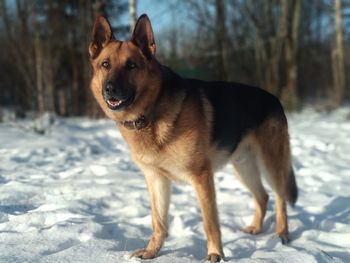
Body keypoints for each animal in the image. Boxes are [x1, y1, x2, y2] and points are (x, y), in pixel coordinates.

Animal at [88, 14, 298, 263]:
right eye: (105, 65)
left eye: (131, 65)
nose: (110, 89)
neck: (151, 112)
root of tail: (275, 99)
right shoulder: (156, 179)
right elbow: (158, 222)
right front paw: (152, 252)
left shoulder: (201, 177)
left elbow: (210, 223)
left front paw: (215, 254)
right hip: (243, 167)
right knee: (263, 196)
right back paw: (256, 228)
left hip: (270, 164)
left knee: (279, 197)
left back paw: (282, 234)